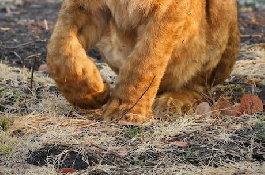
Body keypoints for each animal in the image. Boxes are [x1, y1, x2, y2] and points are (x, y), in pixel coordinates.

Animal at [47, 0, 239, 122]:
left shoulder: (167, 10)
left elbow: (144, 62)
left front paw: (126, 110)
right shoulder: (84, 7)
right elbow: (59, 50)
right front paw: (93, 91)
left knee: (200, 87)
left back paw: (171, 102)